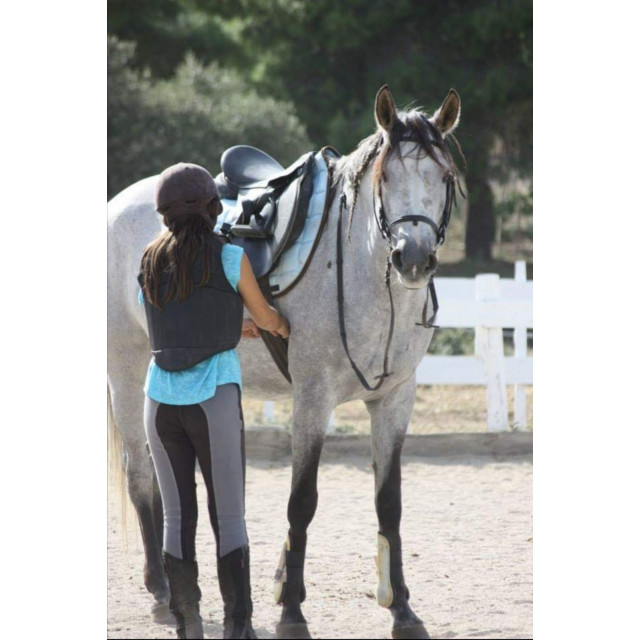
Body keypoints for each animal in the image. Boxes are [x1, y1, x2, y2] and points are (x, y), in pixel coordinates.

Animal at [107, 84, 462, 639]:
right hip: (124, 368)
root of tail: (117, 202)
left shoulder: (394, 400)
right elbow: (303, 501)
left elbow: (389, 502)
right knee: (142, 474)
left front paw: (402, 609)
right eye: (386, 178)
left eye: (443, 178)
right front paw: (292, 610)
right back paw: (163, 594)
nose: (413, 258)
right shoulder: (312, 399)